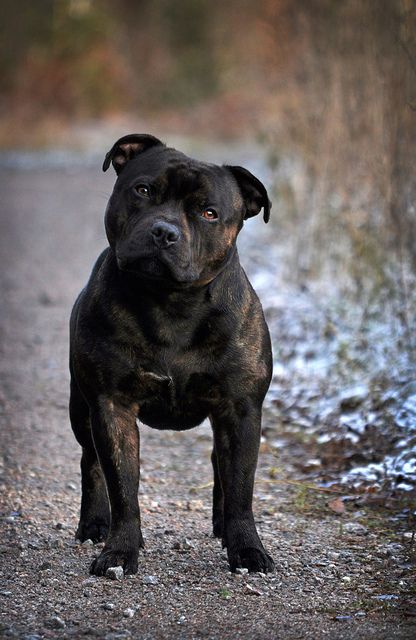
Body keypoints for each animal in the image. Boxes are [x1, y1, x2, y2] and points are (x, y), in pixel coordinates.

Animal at [70, 134, 274, 576]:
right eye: (144, 190)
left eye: (209, 213)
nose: (164, 232)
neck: (171, 304)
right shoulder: (111, 406)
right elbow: (123, 488)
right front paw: (120, 551)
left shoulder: (241, 409)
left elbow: (241, 487)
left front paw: (247, 549)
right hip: (82, 409)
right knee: (90, 462)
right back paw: (93, 524)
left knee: (219, 465)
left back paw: (221, 526)